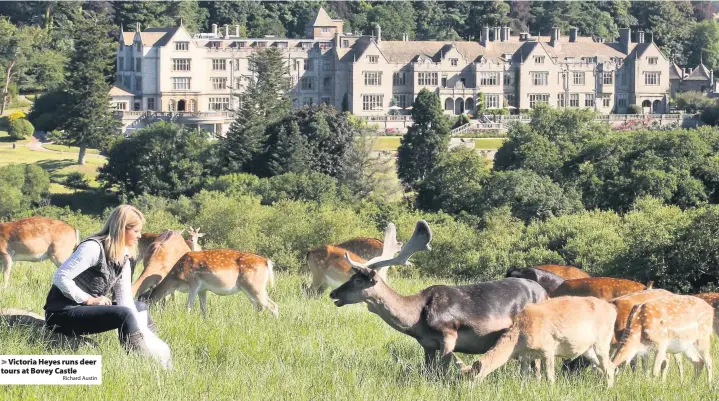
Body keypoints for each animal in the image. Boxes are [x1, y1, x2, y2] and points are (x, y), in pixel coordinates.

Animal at [147, 248, 278, 318]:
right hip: (251, 289)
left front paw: (186, 318)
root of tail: (267, 261)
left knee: (273, 305)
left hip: (254, 286)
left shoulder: (194, 283)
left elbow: (188, 305)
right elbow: (203, 308)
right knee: (261, 306)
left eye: (144, 299)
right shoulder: (202, 290)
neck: (176, 279)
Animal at [330, 220, 548, 370]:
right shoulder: (427, 345)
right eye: (351, 277)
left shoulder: (448, 335)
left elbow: (442, 372)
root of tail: (545, 293)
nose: (333, 293)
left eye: (358, 281)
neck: (415, 320)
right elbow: (429, 372)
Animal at [458, 296, 616, 386]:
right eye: (460, 377)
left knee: (608, 366)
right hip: (588, 349)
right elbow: (524, 377)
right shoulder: (525, 356)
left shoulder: (548, 348)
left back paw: (608, 389)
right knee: (610, 366)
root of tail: (613, 309)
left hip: (603, 340)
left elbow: (549, 377)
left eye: (471, 379)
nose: (463, 391)